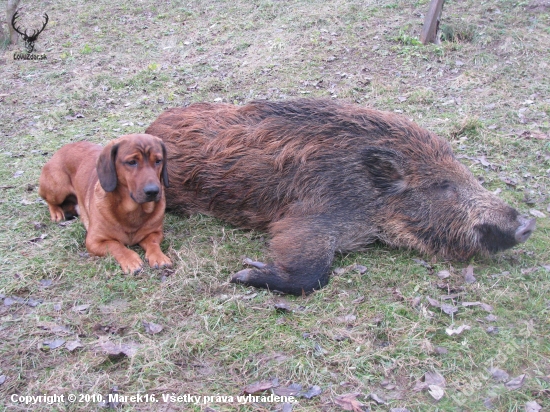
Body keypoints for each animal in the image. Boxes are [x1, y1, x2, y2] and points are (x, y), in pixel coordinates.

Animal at [38, 134, 172, 272]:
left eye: (158, 160)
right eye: (131, 162)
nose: (153, 191)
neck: (133, 210)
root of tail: (63, 148)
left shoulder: (155, 233)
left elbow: (153, 243)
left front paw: (158, 256)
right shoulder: (94, 241)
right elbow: (116, 245)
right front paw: (130, 259)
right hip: (57, 189)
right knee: (47, 199)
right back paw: (56, 212)